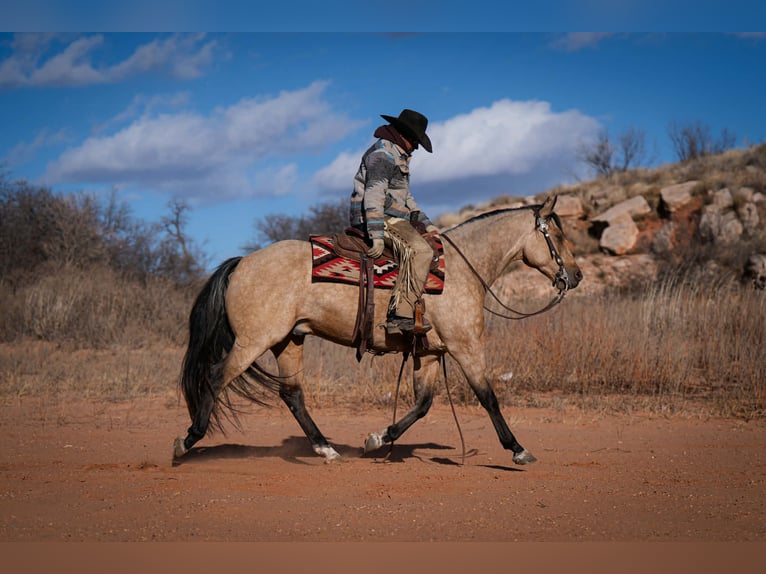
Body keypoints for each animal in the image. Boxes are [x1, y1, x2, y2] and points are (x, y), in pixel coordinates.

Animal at [173, 194, 582, 465]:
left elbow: (422, 405)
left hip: (288, 340)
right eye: (558, 236)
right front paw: (518, 449)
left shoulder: (429, 354)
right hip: (253, 341)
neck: (462, 269)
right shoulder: (466, 346)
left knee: (292, 394)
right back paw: (186, 442)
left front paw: (377, 439)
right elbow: (488, 397)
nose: (576, 276)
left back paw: (326, 448)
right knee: (215, 378)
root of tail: (242, 262)